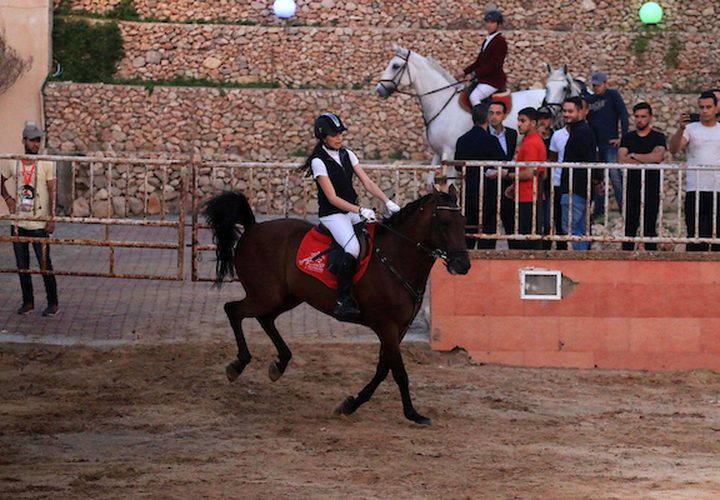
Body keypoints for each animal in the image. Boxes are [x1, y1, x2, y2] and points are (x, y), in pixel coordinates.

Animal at [205, 185, 470, 426]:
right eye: (444, 223)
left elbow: (383, 369)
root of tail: (254, 227)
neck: (396, 258)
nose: (463, 265)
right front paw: (413, 414)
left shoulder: (399, 328)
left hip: (285, 297)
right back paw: (239, 365)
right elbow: (399, 372)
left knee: (265, 319)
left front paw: (350, 404)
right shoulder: (387, 327)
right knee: (233, 310)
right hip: (265, 296)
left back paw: (279, 364)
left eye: (463, 222)